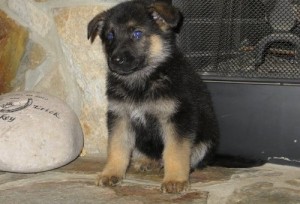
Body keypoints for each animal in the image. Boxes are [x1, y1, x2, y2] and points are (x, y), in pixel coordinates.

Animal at [86, 0, 218, 193]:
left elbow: (175, 152)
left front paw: (175, 180)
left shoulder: (177, 118)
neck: (142, 80)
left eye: (137, 33)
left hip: (205, 142)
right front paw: (110, 173)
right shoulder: (120, 117)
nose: (115, 60)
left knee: (191, 158)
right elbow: (117, 148)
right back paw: (148, 161)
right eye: (110, 36)